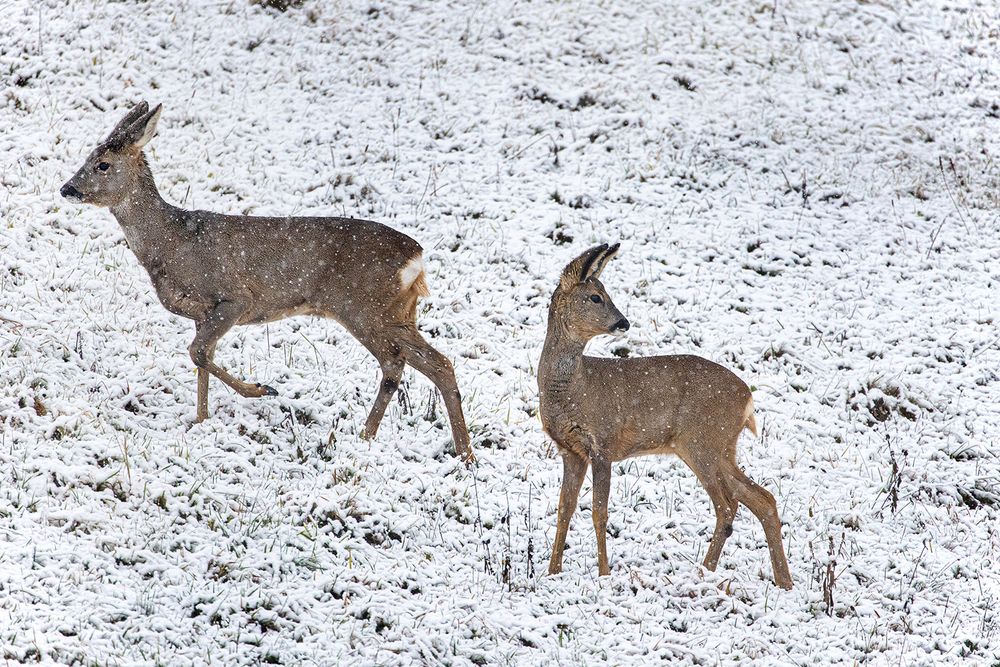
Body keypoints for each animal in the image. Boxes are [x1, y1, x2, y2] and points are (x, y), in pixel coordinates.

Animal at [60, 100, 474, 464]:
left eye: (102, 164)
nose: (67, 188)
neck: (170, 243)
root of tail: (415, 257)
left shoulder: (233, 298)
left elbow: (198, 353)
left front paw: (262, 389)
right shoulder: (201, 313)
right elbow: (202, 360)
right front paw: (201, 420)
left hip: (364, 307)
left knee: (396, 363)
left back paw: (373, 436)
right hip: (398, 312)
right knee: (437, 363)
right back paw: (460, 452)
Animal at [536, 245, 792, 588]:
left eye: (603, 293)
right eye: (595, 296)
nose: (623, 322)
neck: (573, 389)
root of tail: (747, 397)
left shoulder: (603, 442)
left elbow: (599, 511)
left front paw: (604, 574)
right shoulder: (570, 450)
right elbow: (564, 507)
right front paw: (552, 572)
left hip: (703, 442)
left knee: (728, 505)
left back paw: (706, 571)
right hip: (719, 447)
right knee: (762, 498)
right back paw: (783, 581)